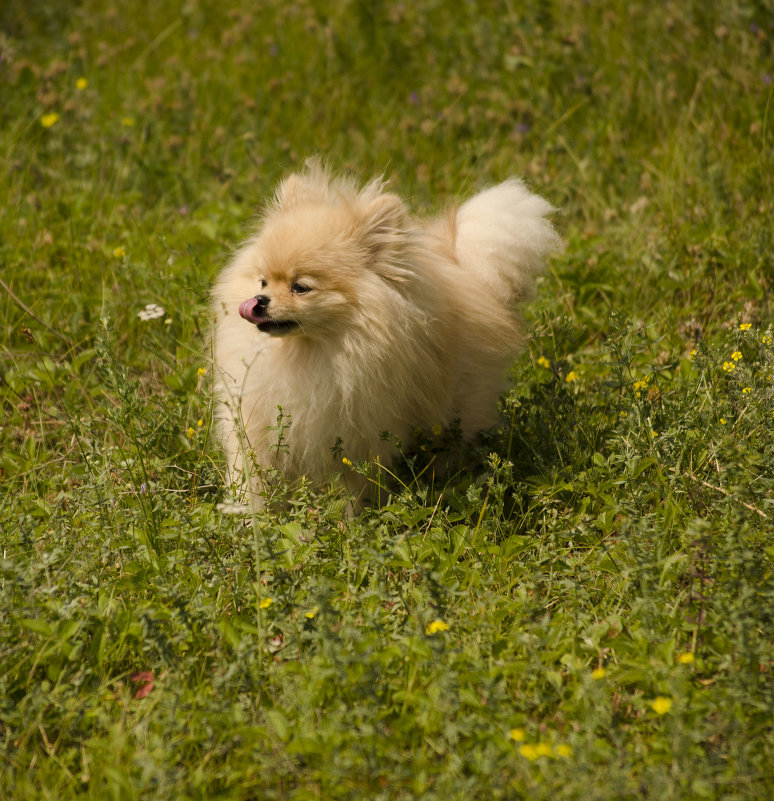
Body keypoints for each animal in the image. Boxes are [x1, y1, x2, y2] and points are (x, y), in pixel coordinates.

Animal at [212, 159, 564, 504]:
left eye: (300, 288)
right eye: (262, 281)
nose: (259, 301)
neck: (312, 350)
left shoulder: (354, 432)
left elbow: (351, 484)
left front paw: (349, 515)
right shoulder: (256, 421)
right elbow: (250, 473)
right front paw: (246, 511)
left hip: (459, 406)